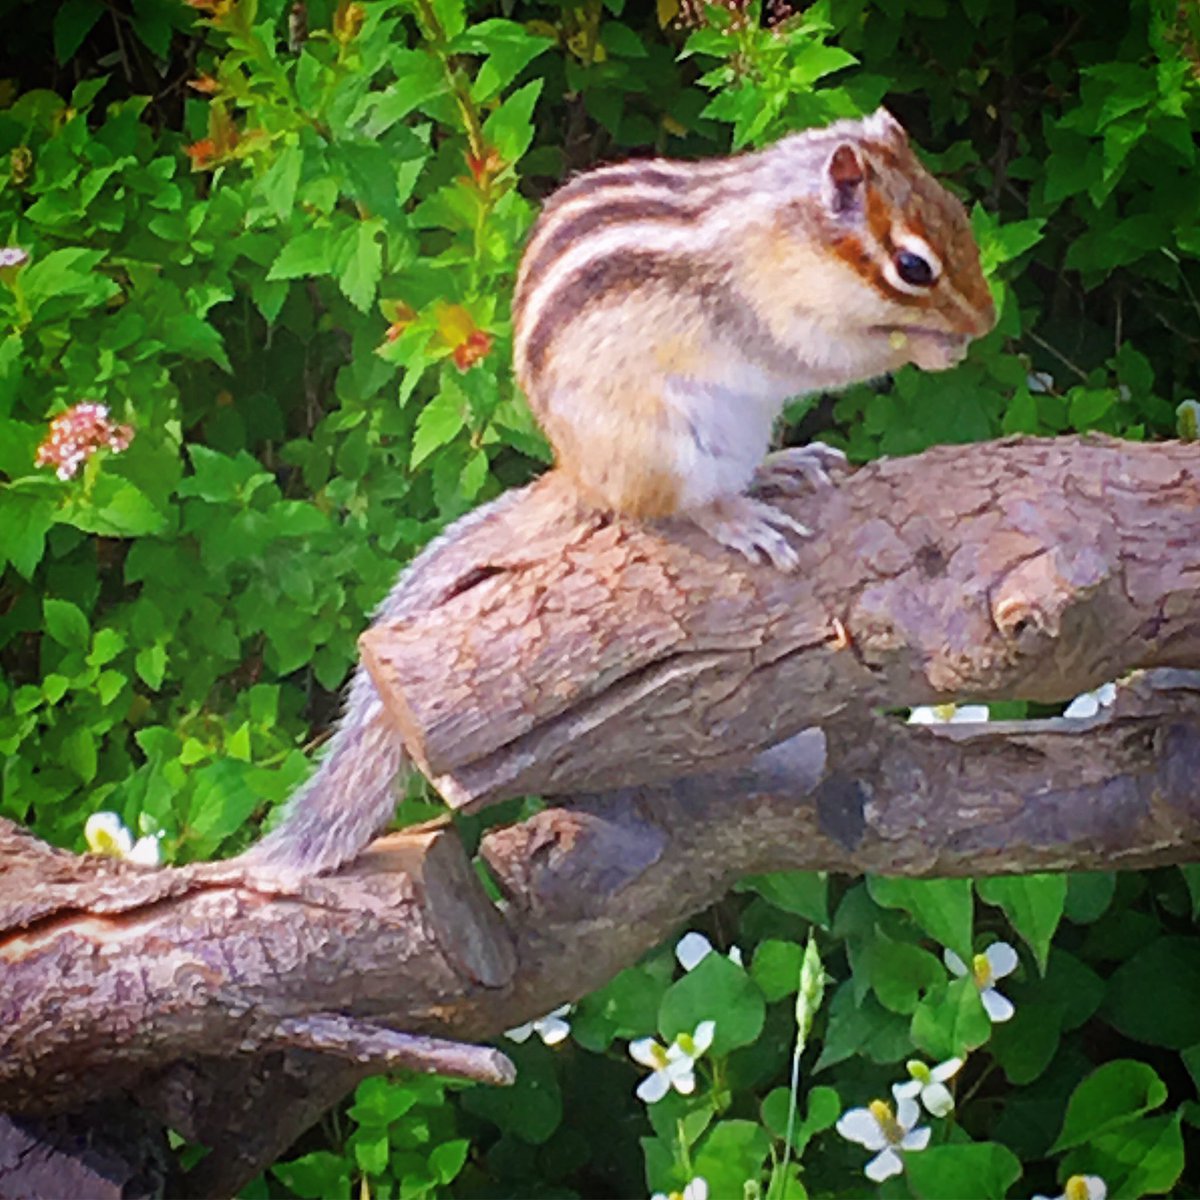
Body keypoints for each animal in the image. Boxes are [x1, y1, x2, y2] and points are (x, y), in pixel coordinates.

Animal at [237, 107, 996, 881]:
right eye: (913, 266)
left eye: (957, 211)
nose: (986, 322)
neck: (789, 233)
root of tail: (579, 471)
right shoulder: (777, 316)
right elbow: (829, 357)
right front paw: (929, 346)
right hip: (667, 446)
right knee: (677, 508)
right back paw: (738, 519)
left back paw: (781, 468)